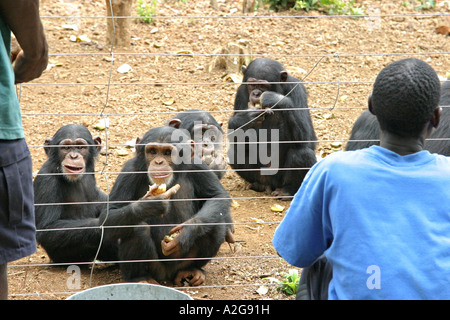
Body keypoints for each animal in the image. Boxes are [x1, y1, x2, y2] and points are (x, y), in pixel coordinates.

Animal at [33, 124, 118, 262]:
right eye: (66, 148)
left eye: (80, 147)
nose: (74, 156)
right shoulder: (46, 180)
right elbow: (48, 228)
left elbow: (99, 200)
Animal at [105, 125, 232, 284]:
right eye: (153, 151)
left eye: (167, 153)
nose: (159, 162)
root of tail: (169, 275)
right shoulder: (128, 171)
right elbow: (109, 215)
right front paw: (150, 205)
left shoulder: (198, 165)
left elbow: (217, 196)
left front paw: (185, 232)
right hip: (156, 269)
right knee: (137, 228)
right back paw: (140, 278)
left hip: (182, 262)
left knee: (215, 225)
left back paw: (192, 270)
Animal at [229, 56, 316, 199]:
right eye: (252, 84)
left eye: (263, 85)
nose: (256, 93)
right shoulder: (241, 92)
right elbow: (236, 138)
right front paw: (244, 118)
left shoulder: (297, 89)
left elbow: (307, 137)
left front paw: (275, 99)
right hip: (260, 174)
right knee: (235, 152)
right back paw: (257, 185)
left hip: (279, 179)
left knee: (302, 153)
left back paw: (288, 191)